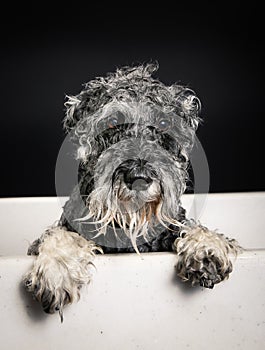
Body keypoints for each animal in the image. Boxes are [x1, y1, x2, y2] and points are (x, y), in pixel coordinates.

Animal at [23, 62, 240, 320]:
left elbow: (190, 225)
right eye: (111, 122)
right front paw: (57, 270)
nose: (139, 178)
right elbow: (59, 235)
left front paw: (206, 247)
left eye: (164, 124)